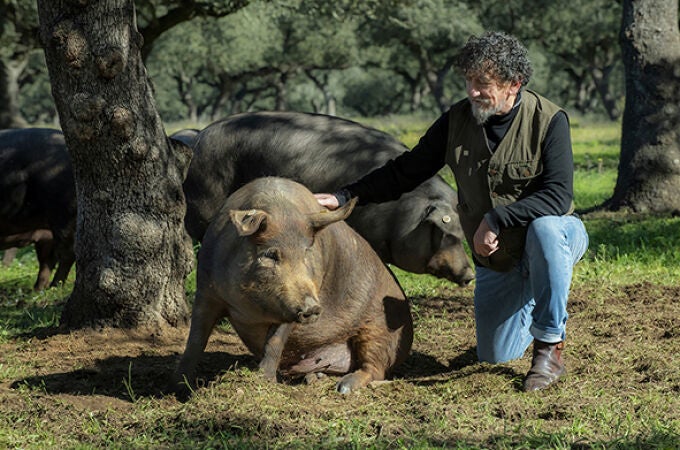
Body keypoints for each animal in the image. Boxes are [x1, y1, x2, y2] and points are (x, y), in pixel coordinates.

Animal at [173, 178, 412, 396]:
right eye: (271, 254)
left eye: (307, 252)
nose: (313, 307)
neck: (250, 308)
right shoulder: (206, 290)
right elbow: (196, 339)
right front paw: (179, 387)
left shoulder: (288, 311)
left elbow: (275, 342)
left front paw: (264, 381)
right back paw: (315, 377)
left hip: (380, 330)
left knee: (375, 369)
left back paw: (343, 387)